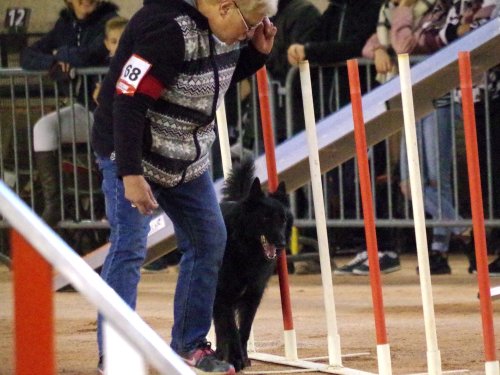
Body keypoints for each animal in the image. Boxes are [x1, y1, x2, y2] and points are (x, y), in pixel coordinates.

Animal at [212, 159, 292, 374]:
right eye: (265, 218)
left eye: (283, 219)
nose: (282, 243)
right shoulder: (224, 295)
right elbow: (231, 329)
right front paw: (236, 359)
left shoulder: (253, 296)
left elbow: (244, 330)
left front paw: (243, 357)